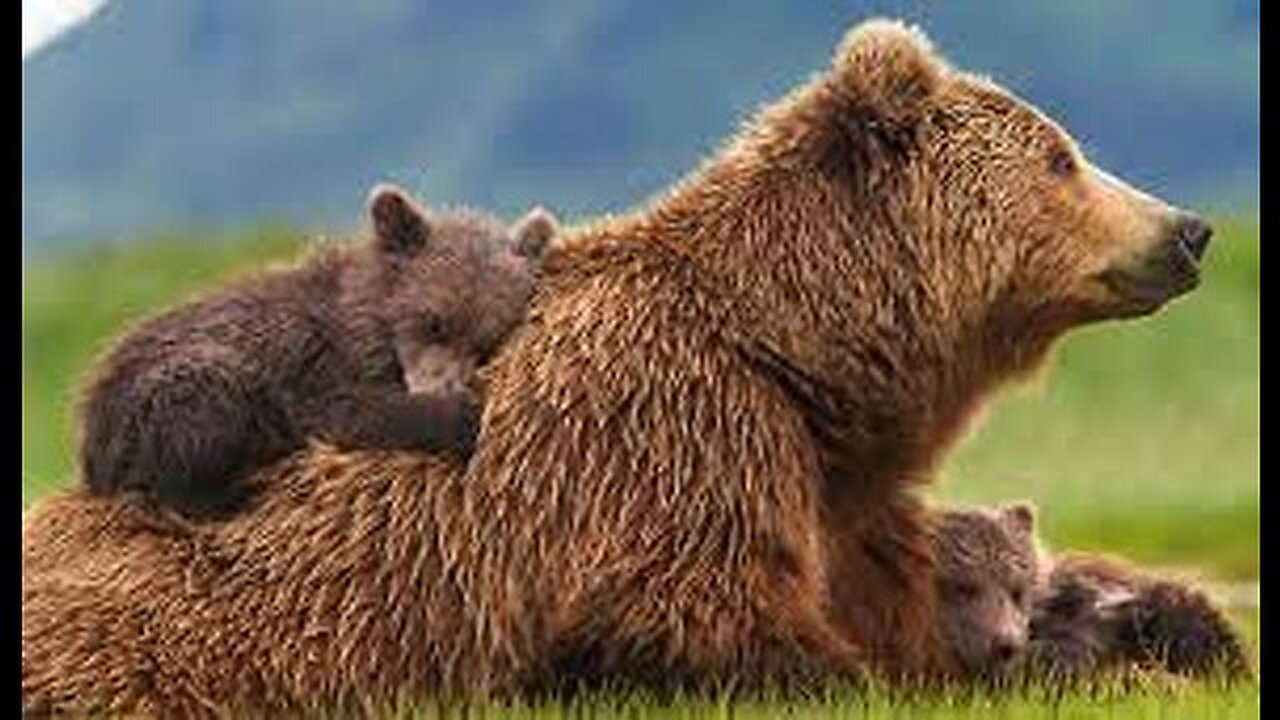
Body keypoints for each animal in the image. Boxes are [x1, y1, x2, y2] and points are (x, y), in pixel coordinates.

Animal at [74, 183, 558, 517]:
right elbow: (345, 412)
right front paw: (458, 415)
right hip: (174, 387)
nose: (444, 386)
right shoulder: (315, 365)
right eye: (434, 320)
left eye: (486, 342)